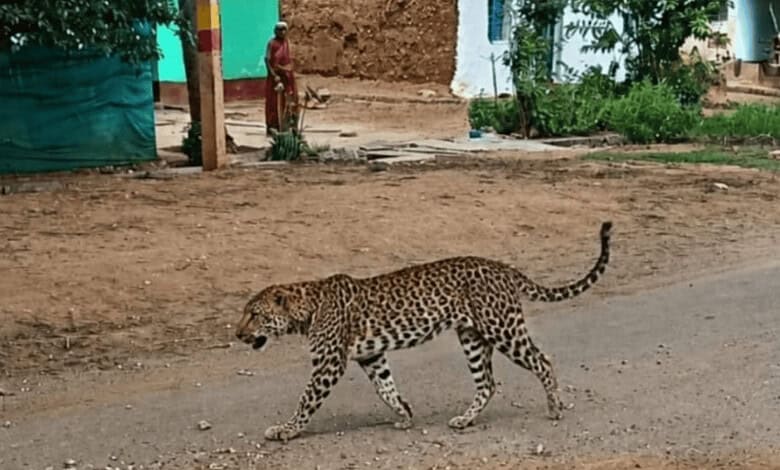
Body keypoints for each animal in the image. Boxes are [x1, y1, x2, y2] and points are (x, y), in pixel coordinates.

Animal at [235, 221, 612, 442]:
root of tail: (502, 267)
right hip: (473, 337)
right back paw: (464, 420)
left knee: (542, 361)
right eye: (244, 314)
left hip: (502, 327)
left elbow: (306, 400)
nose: (238, 335)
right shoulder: (372, 355)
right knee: (487, 383)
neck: (306, 308)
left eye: (254, 315)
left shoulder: (328, 363)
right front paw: (404, 415)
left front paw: (286, 430)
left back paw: (554, 407)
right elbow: (385, 388)